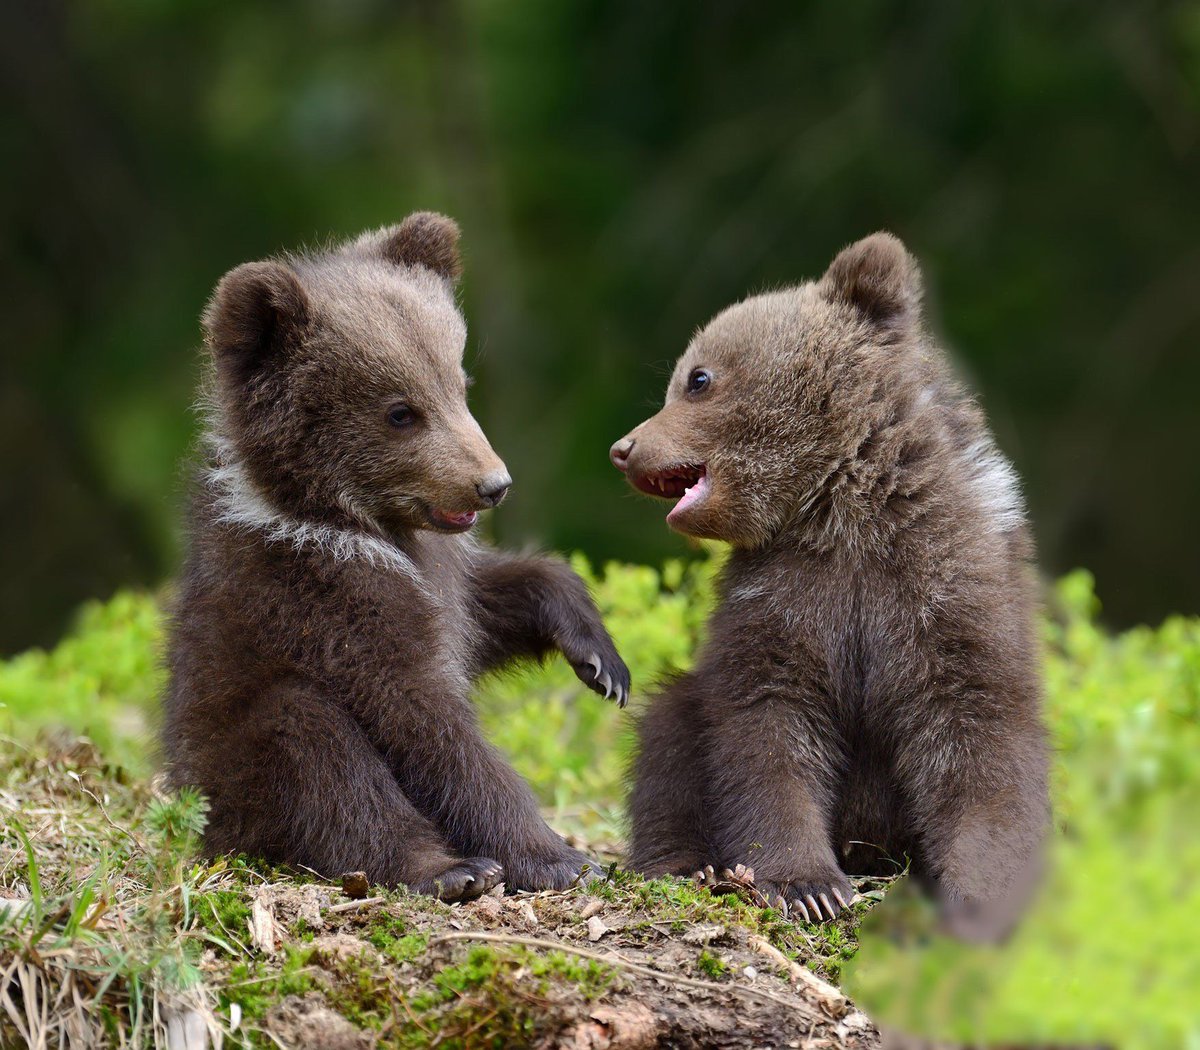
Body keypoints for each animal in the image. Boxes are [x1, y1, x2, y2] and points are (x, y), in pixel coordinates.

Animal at [165, 212, 630, 902]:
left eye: (459, 383)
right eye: (400, 411)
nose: (492, 484)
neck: (344, 520)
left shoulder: (439, 574)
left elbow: (492, 604)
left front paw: (601, 659)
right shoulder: (326, 598)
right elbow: (424, 721)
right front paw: (557, 856)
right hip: (233, 769)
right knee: (317, 755)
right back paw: (450, 869)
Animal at [610, 233, 1047, 933]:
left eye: (697, 378)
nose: (624, 448)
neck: (841, 512)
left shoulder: (945, 588)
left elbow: (977, 735)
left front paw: (981, 895)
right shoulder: (781, 598)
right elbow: (767, 727)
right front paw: (807, 886)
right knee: (670, 730)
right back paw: (686, 863)